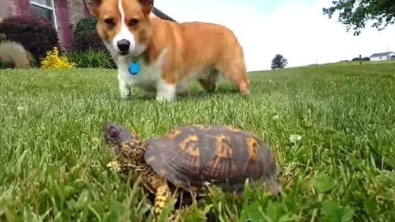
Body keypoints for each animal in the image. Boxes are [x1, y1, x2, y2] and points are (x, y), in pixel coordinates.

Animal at [86, 0, 251, 101]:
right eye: (109, 21)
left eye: (134, 21)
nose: (123, 45)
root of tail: (230, 30)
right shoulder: (123, 74)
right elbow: (123, 82)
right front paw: (125, 95)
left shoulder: (166, 81)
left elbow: (162, 97)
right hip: (206, 77)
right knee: (212, 86)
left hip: (232, 69)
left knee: (244, 81)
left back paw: (245, 94)